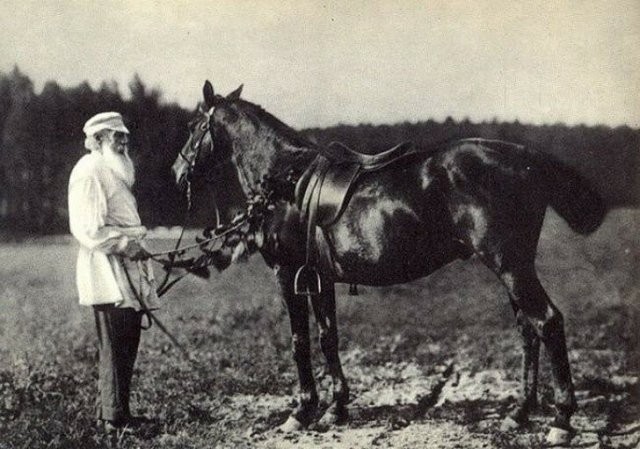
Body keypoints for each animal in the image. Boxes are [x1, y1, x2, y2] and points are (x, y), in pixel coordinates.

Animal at [172, 79, 604, 440]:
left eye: (194, 125)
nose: (177, 172)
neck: (284, 182)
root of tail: (526, 155)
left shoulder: (288, 273)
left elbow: (299, 341)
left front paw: (302, 411)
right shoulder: (319, 277)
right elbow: (328, 337)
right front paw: (337, 407)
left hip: (510, 265)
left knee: (547, 322)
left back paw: (561, 420)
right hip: (512, 267)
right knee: (528, 330)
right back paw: (519, 413)